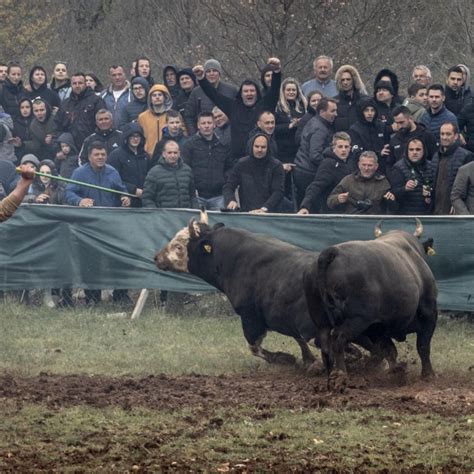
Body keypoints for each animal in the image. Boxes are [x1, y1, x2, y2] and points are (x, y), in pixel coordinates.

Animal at [306, 220, 438, 390]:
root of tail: (332, 252)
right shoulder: (429, 313)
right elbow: (423, 346)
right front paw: (428, 375)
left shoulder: (378, 327)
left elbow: (390, 350)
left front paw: (396, 372)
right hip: (356, 320)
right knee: (338, 339)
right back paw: (341, 375)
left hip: (322, 321)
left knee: (326, 346)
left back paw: (330, 377)